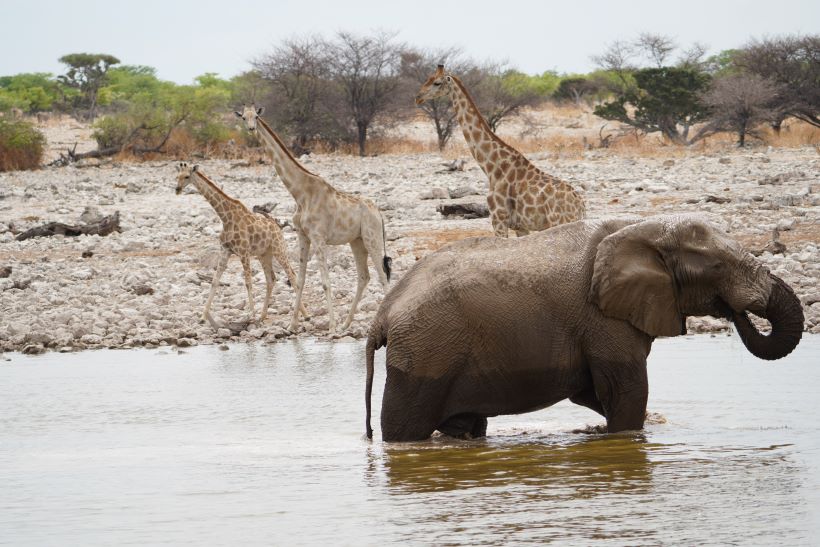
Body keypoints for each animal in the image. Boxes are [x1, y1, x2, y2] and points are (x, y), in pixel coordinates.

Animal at [365, 215, 804, 441]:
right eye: (717, 267)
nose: (735, 311)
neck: (642, 229)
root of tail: (382, 314)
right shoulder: (603, 321)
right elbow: (625, 390)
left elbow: (593, 391)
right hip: (424, 354)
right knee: (406, 428)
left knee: (466, 426)